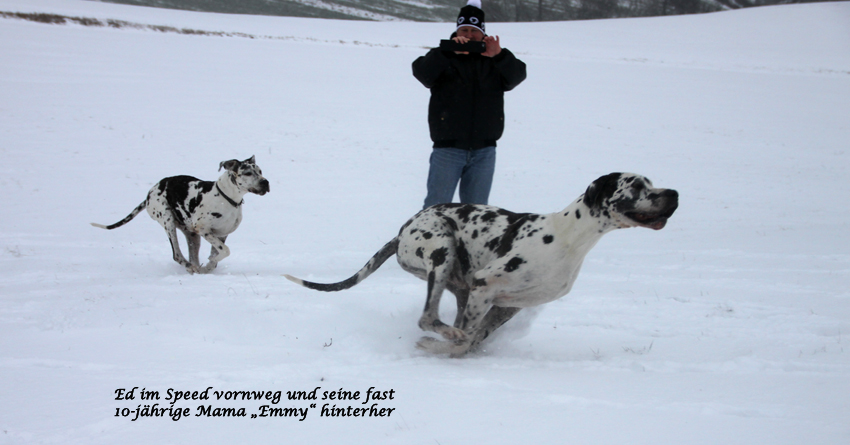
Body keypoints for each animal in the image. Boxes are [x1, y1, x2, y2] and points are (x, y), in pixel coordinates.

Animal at [92, 156, 269, 274]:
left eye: (260, 171)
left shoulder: (221, 234)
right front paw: (210, 262)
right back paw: (190, 267)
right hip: (168, 220)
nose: (265, 182)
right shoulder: (203, 230)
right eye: (247, 173)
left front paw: (208, 266)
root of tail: (149, 194)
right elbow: (225, 251)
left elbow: (218, 255)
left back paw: (196, 268)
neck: (227, 198)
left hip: (192, 235)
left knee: (192, 256)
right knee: (177, 255)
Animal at [285, 173, 678, 357]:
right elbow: (465, 342)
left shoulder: (506, 306)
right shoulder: (486, 286)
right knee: (428, 318)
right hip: (441, 249)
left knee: (445, 319)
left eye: (652, 182)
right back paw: (439, 336)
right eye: (637, 185)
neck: (568, 237)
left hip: (457, 283)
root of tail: (401, 232)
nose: (673, 194)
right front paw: (435, 349)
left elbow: (475, 340)